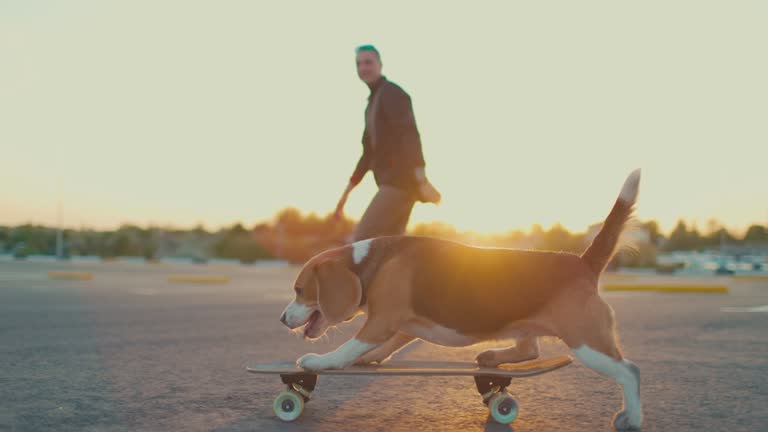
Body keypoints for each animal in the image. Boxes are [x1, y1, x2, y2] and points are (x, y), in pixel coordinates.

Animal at [280, 170, 640, 430]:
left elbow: (348, 347)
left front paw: (320, 361)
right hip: (531, 328)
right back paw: (491, 356)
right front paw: (368, 359)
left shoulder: (381, 321)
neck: (370, 262)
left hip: (587, 342)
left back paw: (632, 418)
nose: (283, 319)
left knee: (630, 371)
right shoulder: (402, 325)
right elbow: (381, 347)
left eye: (299, 290)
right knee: (530, 351)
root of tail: (582, 262)